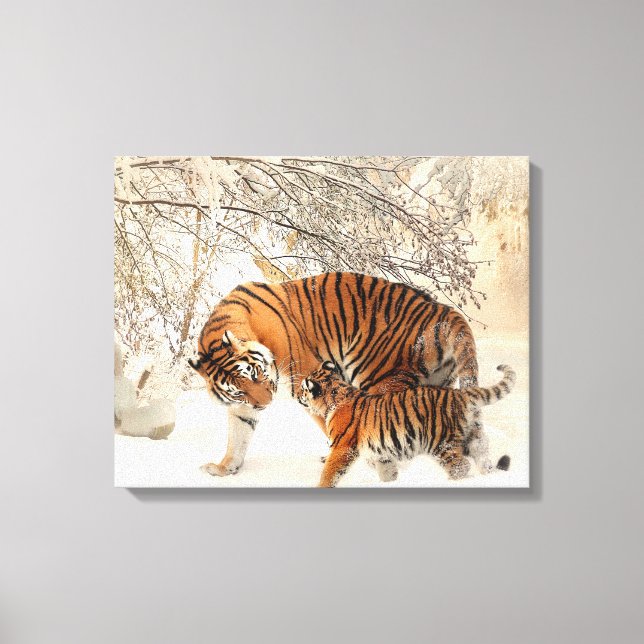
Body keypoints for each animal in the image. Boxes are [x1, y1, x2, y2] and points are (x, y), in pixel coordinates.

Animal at [189, 272, 490, 479]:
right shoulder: (243, 406)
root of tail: (443, 310)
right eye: (238, 390)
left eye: (254, 374)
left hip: (380, 379)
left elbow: (332, 422)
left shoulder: (306, 379)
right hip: (437, 386)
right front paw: (225, 468)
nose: (265, 404)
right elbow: (238, 434)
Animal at [298, 361, 515, 487]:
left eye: (303, 388)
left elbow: (330, 472)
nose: (298, 396)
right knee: (483, 457)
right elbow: (387, 472)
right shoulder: (382, 453)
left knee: (460, 467)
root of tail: (460, 394)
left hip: (441, 443)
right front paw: (389, 483)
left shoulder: (342, 447)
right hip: (472, 437)